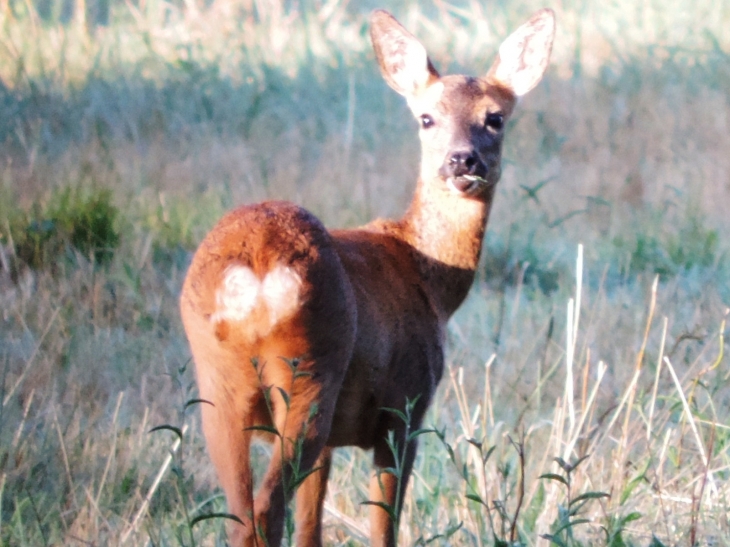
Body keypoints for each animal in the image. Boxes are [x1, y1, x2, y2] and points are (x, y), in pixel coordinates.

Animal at [181, 6, 552, 544]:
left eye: (495, 117)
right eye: (426, 117)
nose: (462, 160)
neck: (430, 276)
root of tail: (255, 272)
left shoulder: (336, 438)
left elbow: (311, 525)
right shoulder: (405, 408)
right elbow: (384, 523)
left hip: (218, 380)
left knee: (240, 511)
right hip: (310, 367)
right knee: (267, 508)